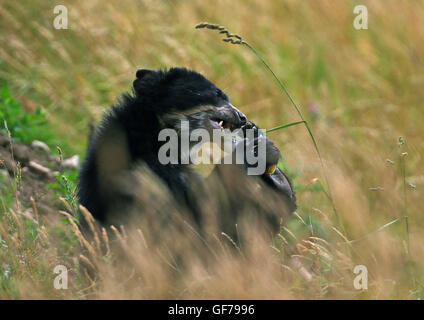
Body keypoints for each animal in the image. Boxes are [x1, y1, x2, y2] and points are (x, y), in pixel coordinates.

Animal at [78, 67, 296, 241]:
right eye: (216, 93)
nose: (243, 118)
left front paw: (277, 179)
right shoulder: (143, 172)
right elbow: (198, 217)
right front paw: (255, 152)